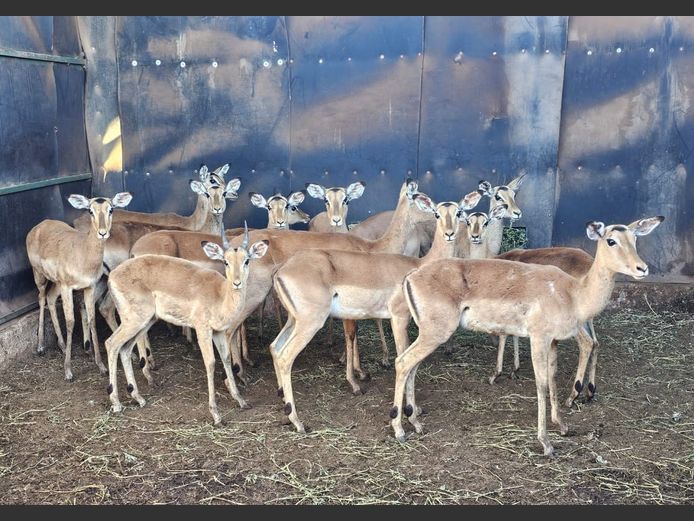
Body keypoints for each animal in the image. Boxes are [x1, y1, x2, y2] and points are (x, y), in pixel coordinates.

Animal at [26, 192, 133, 381]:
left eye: (111, 209)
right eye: (90, 210)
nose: (103, 233)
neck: (83, 254)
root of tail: (39, 225)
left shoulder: (89, 287)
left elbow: (92, 319)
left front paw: (101, 366)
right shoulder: (67, 287)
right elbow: (70, 322)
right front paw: (68, 371)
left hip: (56, 283)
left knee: (50, 298)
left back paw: (61, 346)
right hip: (39, 275)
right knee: (41, 298)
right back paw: (40, 347)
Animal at [105, 225, 268, 424]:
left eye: (246, 261)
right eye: (226, 261)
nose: (237, 283)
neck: (221, 295)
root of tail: (112, 276)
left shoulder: (219, 332)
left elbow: (226, 359)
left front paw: (241, 400)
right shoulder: (202, 329)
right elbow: (210, 363)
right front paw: (216, 414)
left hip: (144, 322)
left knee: (125, 349)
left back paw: (139, 397)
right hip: (135, 321)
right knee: (111, 343)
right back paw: (116, 403)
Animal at [126, 179, 429, 383]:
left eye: (346, 200)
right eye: (420, 198)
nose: (438, 211)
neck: (372, 247)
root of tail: (232, 248)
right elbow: (352, 335)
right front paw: (358, 375)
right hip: (251, 297)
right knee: (229, 330)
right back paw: (237, 376)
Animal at [269, 191, 482, 433]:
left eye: (458, 212)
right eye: (437, 213)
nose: (449, 233)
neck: (417, 266)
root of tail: (282, 269)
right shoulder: (399, 318)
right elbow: (403, 359)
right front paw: (408, 418)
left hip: (294, 320)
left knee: (275, 347)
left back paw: (284, 405)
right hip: (310, 323)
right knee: (286, 356)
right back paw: (298, 421)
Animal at [493, 247, 598, 406]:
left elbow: (504, 334)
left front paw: (496, 374)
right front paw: (514, 370)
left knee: (587, 343)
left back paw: (572, 396)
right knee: (596, 343)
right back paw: (590, 392)